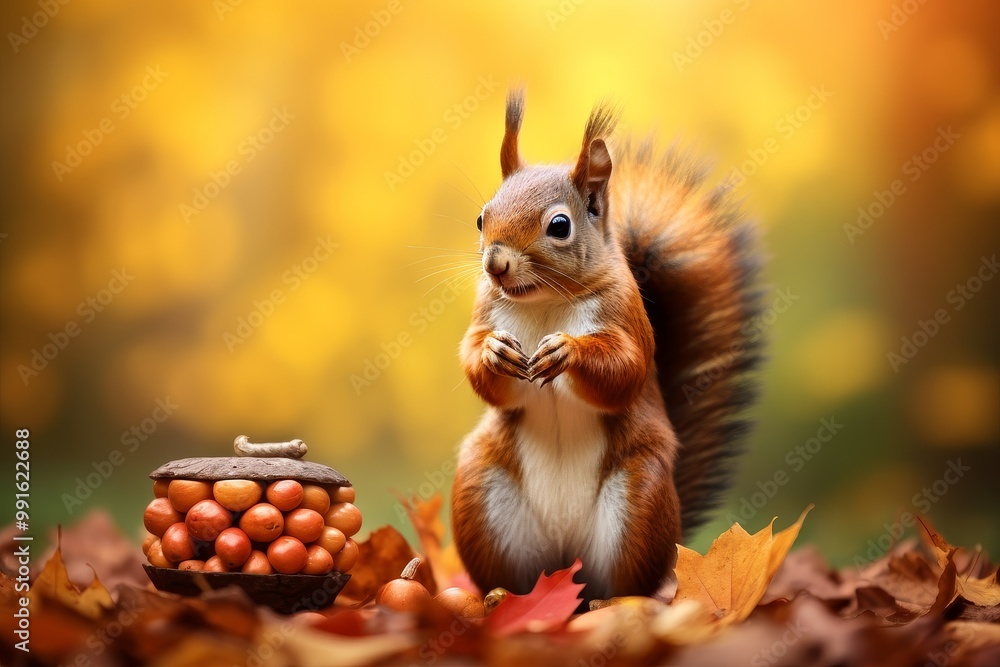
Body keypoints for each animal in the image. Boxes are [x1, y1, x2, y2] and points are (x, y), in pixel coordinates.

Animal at [451, 89, 763, 602]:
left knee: (629, 582)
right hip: (483, 492)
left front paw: (568, 351)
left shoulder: (625, 317)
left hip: (639, 498)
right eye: (481, 217)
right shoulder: (486, 314)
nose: (495, 264)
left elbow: (624, 371)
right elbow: (486, 373)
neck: (545, 302)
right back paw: (502, 598)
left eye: (559, 225)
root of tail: (565, 560)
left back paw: (609, 601)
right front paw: (494, 352)